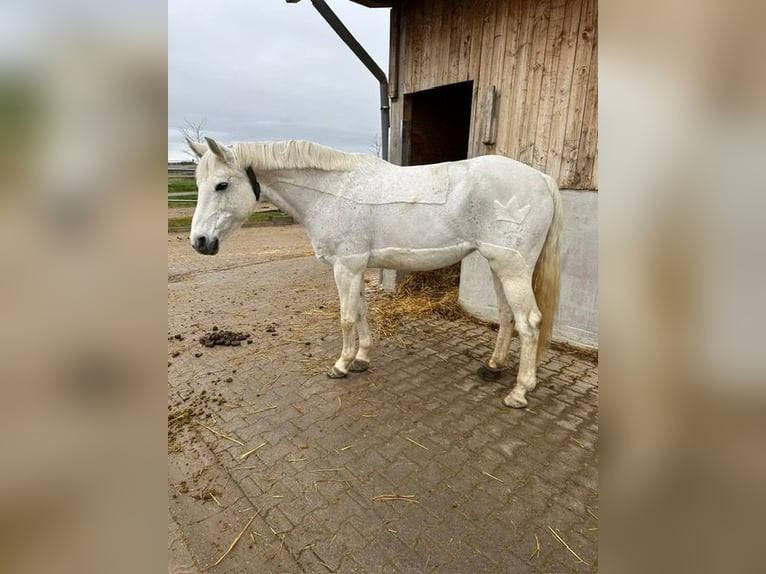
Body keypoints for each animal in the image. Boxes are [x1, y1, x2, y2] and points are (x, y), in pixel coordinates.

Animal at [188, 138, 564, 410]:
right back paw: (493, 366)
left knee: (529, 322)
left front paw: (341, 364)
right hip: (499, 265)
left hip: (512, 267)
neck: (334, 191)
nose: (200, 242)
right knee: (507, 315)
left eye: (221, 185)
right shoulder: (356, 267)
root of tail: (543, 179)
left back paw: (519, 391)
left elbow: (346, 317)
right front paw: (362, 358)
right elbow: (361, 311)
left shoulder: (346, 266)